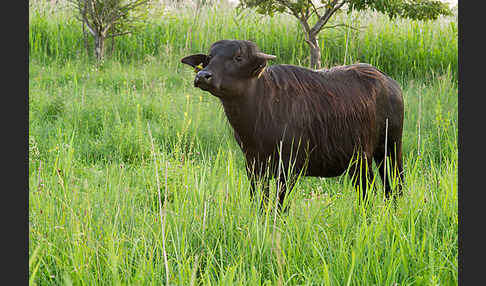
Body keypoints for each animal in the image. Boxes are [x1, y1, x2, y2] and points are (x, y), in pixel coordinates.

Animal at [180, 39, 404, 210]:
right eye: (209, 59)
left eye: (238, 58)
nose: (202, 76)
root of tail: (389, 83)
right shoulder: (253, 165)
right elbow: (260, 202)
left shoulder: (288, 167)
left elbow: (279, 205)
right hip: (362, 160)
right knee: (376, 189)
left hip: (392, 148)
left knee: (396, 185)